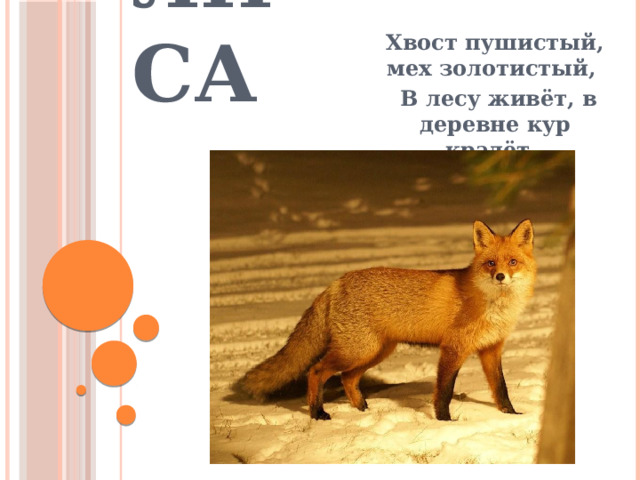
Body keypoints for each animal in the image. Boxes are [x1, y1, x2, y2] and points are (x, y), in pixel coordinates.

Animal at [240, 219, 536, 421]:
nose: (500, 276)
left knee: (347, 379)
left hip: (374, 352)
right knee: (316, 371)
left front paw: (512, 415)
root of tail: (337, 282)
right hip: (356, 351)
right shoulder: (453, 348)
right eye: (490, 263)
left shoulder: (491, 350)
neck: (495, 306)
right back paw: (317, 412)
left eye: (512, 262)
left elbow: (501, 388)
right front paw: (444, 421)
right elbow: (444, 391)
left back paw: (361, 409)